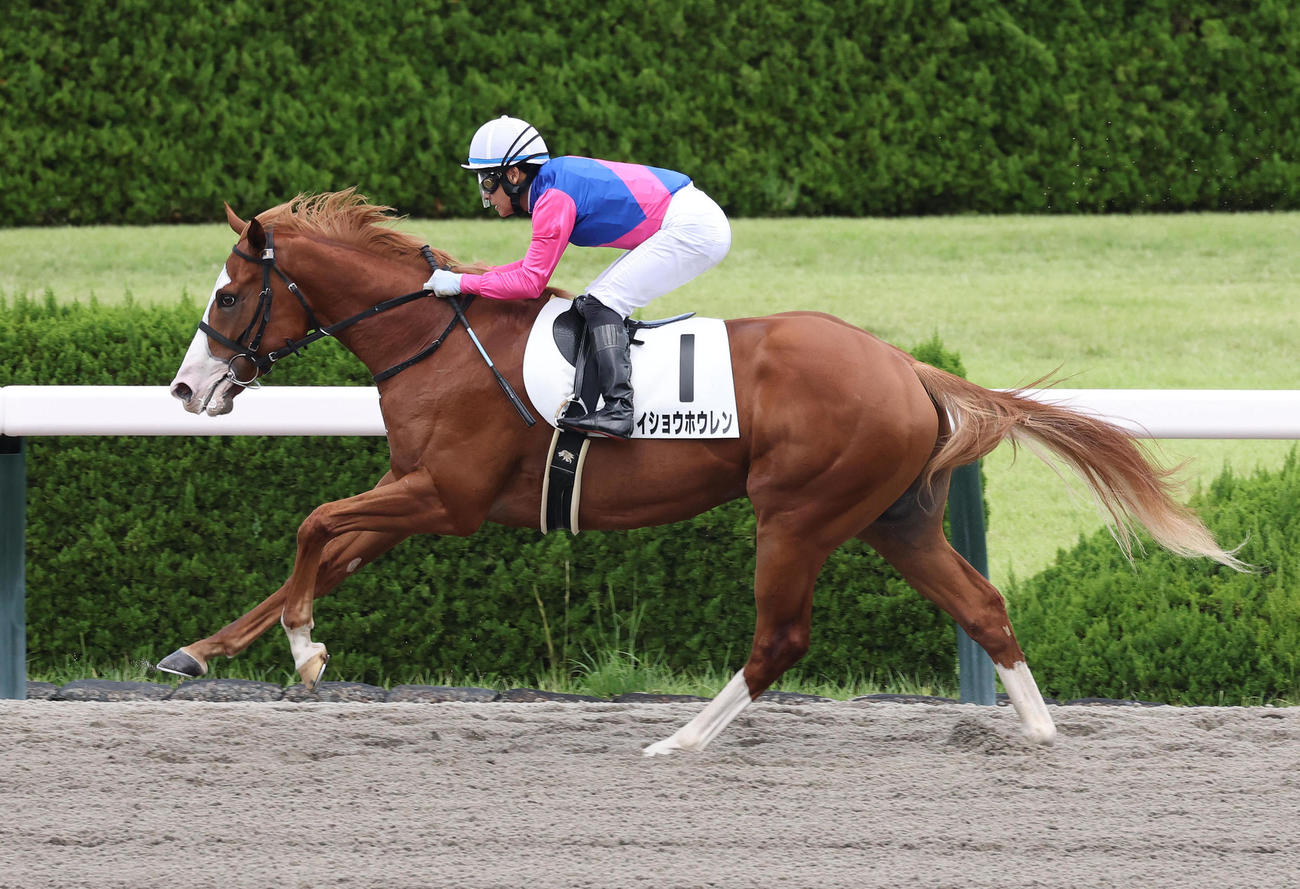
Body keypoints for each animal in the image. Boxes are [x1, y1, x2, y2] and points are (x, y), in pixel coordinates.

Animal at [163, 190, 1243, 755]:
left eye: (230, 294)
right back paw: (1040, 731)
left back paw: (681, 737)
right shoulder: (421, 496)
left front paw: (304, 650)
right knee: (980, 605)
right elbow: (316, 551)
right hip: (894, 515)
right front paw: (206, 650)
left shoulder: (449, 497)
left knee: (780, 637)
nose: (185, 387)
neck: (436, 341)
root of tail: (910, 368)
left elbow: (312, 521)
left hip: (799, 512)